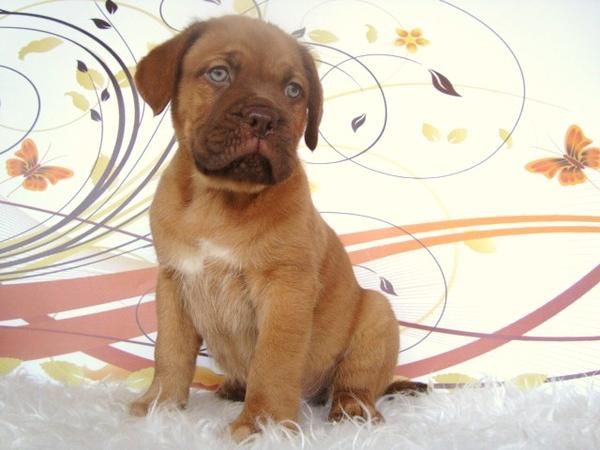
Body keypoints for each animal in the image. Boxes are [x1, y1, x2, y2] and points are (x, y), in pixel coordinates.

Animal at [130, 14, 422, 442]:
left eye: (293, 90)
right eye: (219, 73)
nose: (264, 119)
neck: (221, 199)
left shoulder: (286, 289)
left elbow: (273, 361)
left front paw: (263, 424)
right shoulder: (173, 282)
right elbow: (170, 351)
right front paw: (159, 406)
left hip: (377, 313)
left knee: (357, 381)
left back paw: (353, 409)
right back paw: (234, 387)